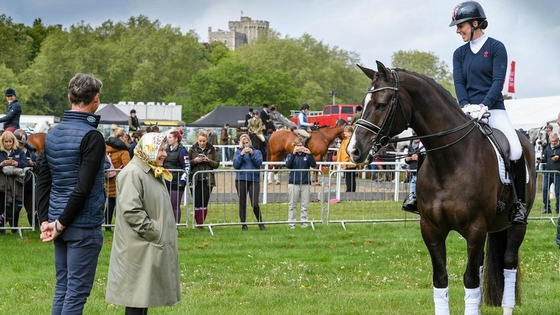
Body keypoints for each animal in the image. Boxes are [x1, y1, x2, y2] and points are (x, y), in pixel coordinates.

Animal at [348, 61, 536, 315]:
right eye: (363, 103)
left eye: (381, 104)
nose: (353, 150)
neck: (450, 161)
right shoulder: (431, 229)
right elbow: (441, 280)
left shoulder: (476, 228)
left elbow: (470, 281)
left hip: (515, 226)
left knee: (508, 264)